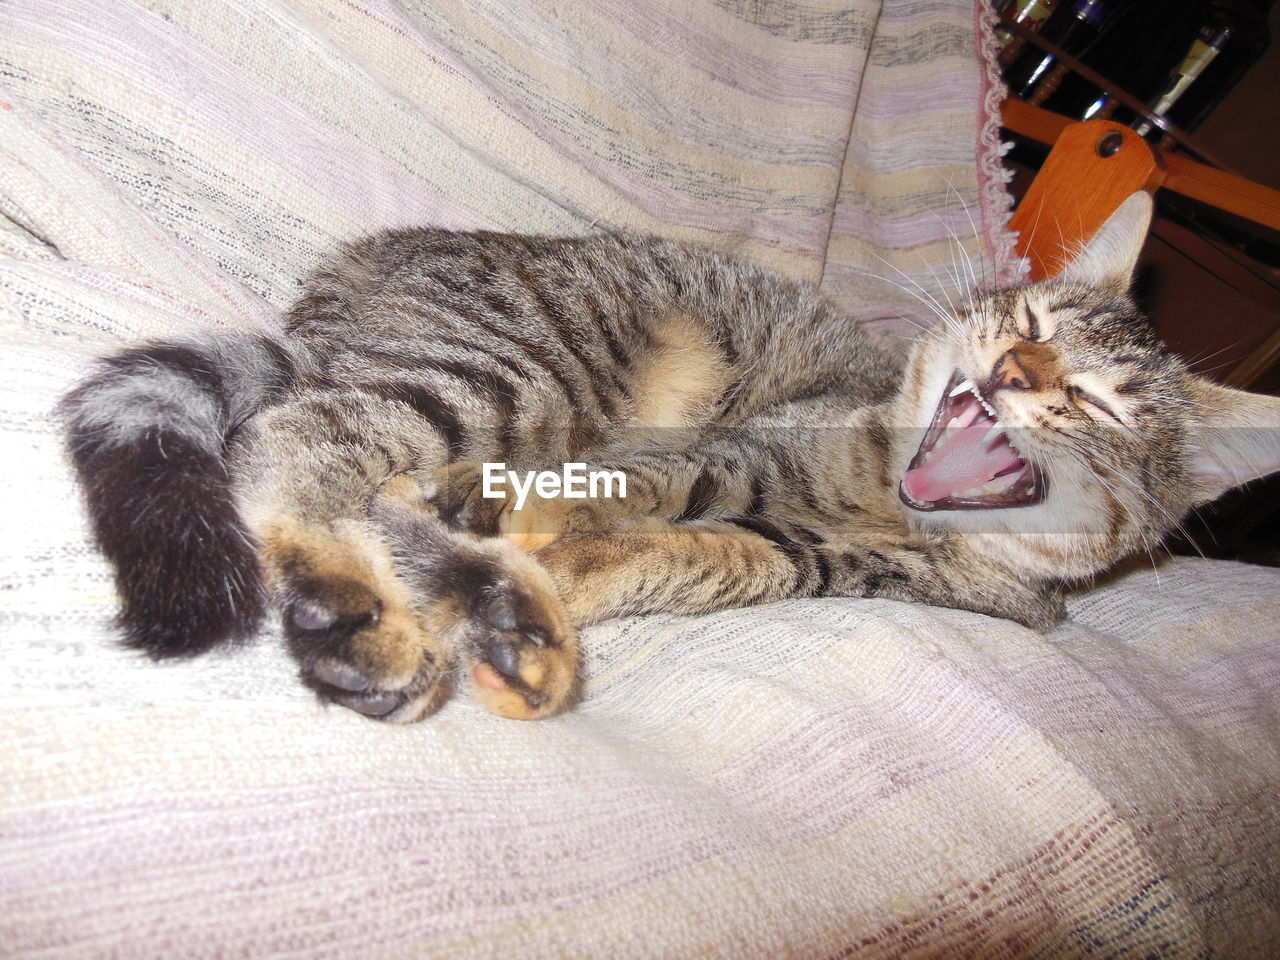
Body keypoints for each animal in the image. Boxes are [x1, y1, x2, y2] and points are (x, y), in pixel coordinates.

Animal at [57, 193, 1280, 721]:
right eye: (1027, 318)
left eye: (1101, 403)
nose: (1019, 371)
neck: (889, 502)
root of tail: (348, 283)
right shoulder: (741, 451)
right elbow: (655, 480)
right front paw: (538, 526)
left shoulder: (812, 561)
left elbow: (688, 558)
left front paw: (559, 569)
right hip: (520, 371)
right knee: (300, 437)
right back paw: (376, 607)